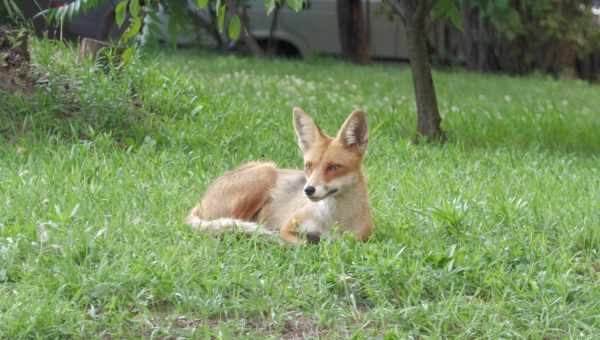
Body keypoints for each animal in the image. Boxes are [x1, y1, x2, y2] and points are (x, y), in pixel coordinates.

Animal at [186, 107, 376, 243]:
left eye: (334, 167)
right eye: (308, 165)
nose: (308, 190)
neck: (333, 221)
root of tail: (201, 200)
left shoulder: (359, 239)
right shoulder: (288, 228)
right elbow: (303, 244)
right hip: (266, 172)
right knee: (233, 223)